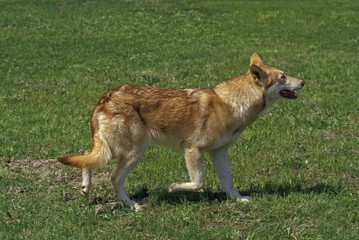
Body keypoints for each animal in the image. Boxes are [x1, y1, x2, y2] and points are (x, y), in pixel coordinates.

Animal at [57, 53, 306, 211]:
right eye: (283, 77)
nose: (303, 81)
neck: (233, 104)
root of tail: (105, 97)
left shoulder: (219, 152)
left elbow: (227, 181)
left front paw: (238, 199)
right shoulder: (193, 149)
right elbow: (198, 182)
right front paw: (173, 188)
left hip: (112, 148)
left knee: (86, 159)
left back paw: (85, 189)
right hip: (134, 152)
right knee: (113, 178)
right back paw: (132, 205)